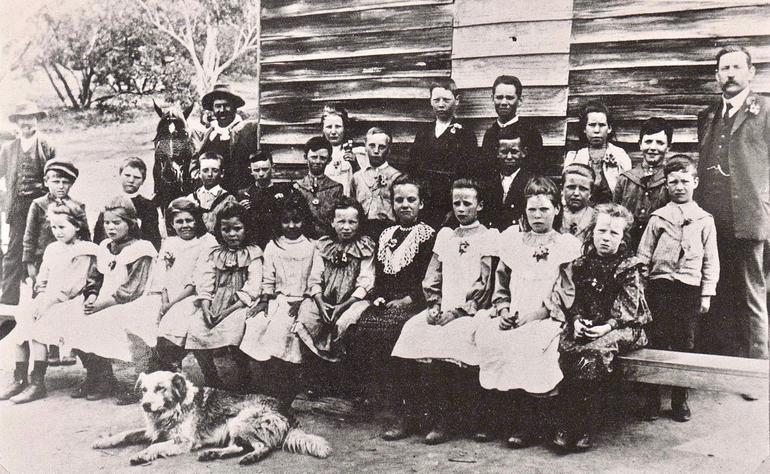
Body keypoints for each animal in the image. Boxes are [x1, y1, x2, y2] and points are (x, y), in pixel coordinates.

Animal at [91, 370, 330, 462]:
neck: (175, 408)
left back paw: (249, 458)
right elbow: (126, 434)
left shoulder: (183, 441)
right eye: (143, 390)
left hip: (240, 421)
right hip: (235, 428)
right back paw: (213, 454)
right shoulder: (153, 430)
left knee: (263, 447)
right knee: (239, 447)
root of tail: (286, 410)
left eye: (160, 388)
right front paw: (103, 441)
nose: (145, 405)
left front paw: (142, 454)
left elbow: (157, 446)